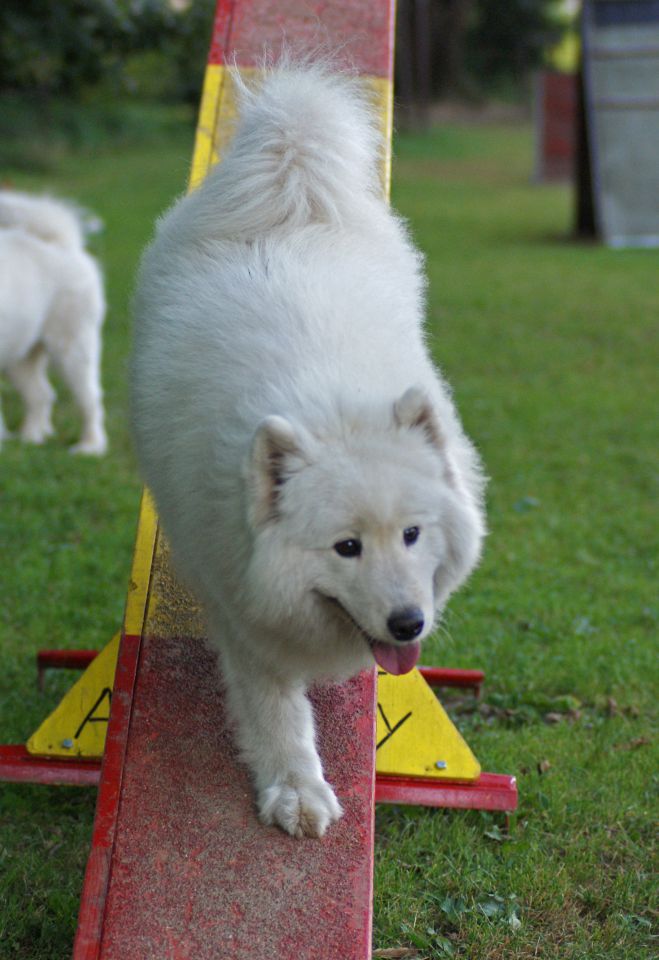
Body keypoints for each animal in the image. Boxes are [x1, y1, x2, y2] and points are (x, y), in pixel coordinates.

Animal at [131, 62, 488, 840]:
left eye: (412, 535)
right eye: (345, 548)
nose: (408, 622)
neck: (332, 411)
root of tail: (286, 186)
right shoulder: (242, 613)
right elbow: (275, 710)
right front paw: (296, 791)